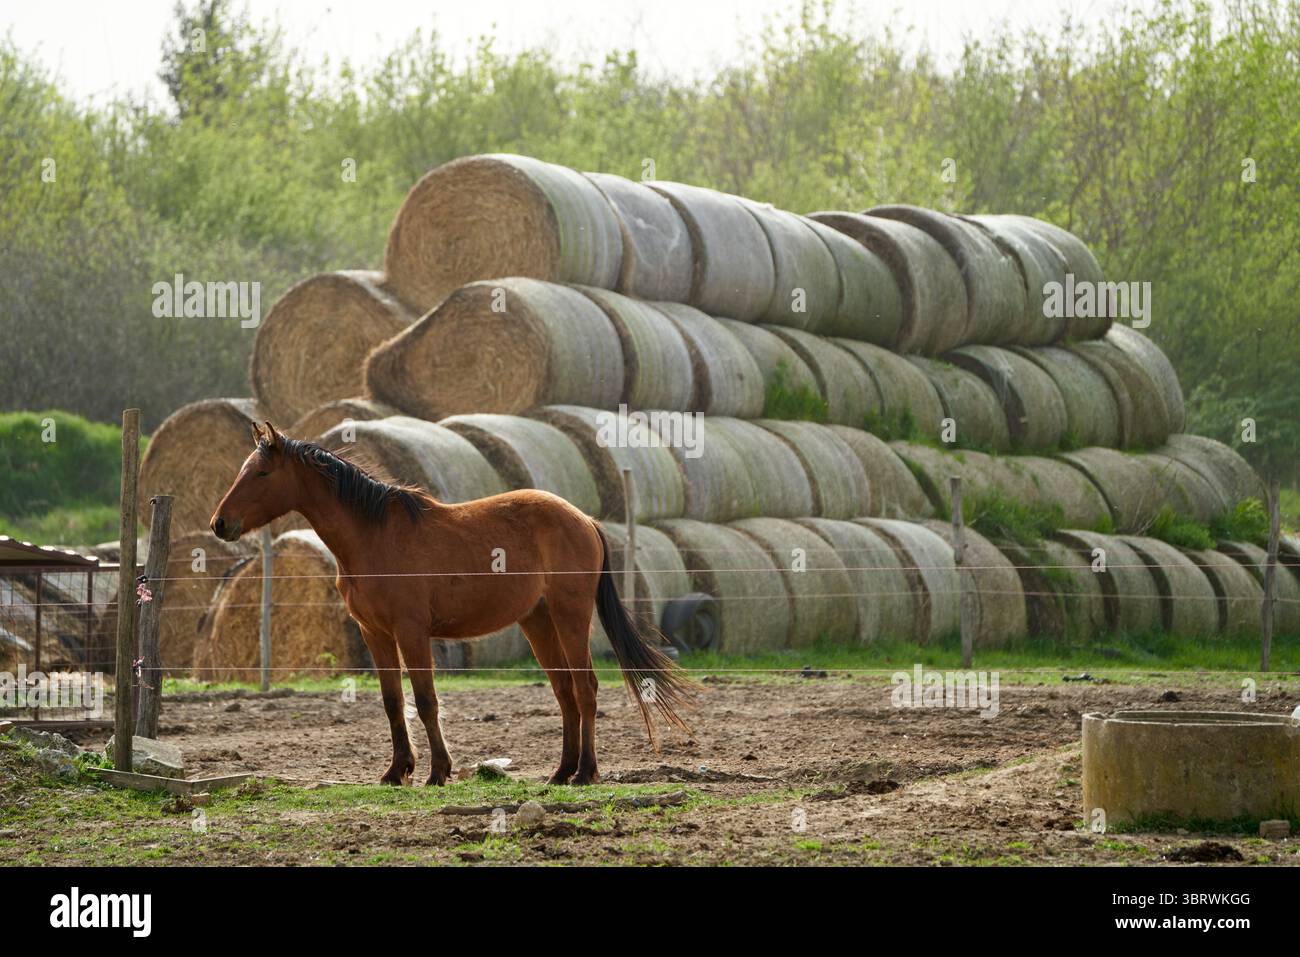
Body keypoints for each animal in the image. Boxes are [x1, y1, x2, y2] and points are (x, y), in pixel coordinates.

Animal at [209, 422, 694, 786]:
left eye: (262, 473)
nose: (219, 524)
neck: (373, 536)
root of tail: (585, 520)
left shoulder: (411, 632)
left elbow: (425, 701)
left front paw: (437, 771)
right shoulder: (375, 634)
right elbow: (392, 702)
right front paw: (396, 771)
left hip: (569, 616)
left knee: (585, 689)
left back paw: (585, 773)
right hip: (538, 622)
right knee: (564, 693)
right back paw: (560, 772)